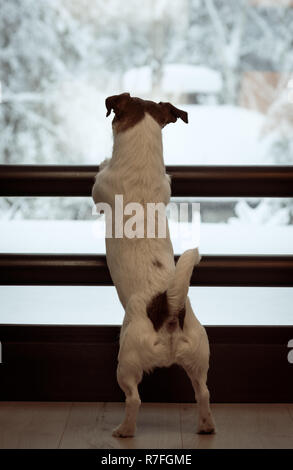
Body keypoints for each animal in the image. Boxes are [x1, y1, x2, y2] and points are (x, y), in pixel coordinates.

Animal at [91, 92, 214, 436]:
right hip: (199, 353)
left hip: (127, 359)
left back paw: (124, 430)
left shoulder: (100, 188)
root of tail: (168, 309)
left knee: (134, 398)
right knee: (203, 392)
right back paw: (206, 425)